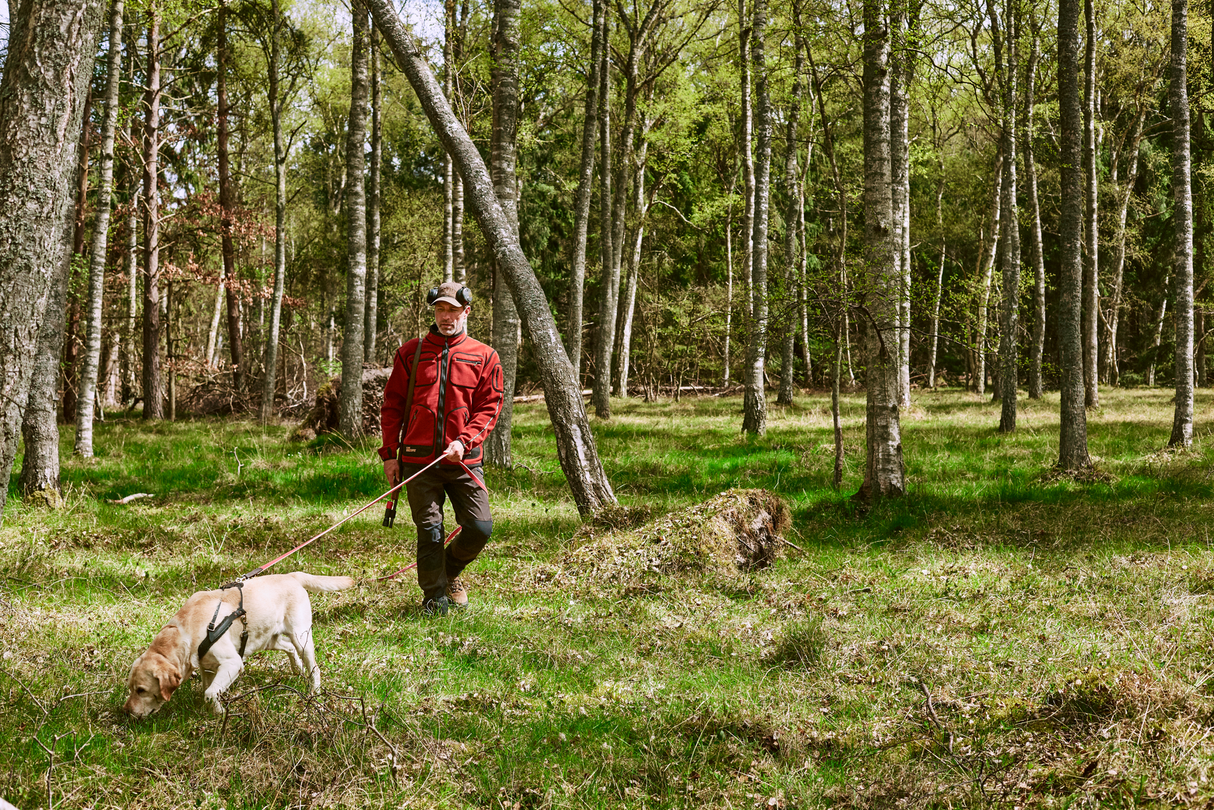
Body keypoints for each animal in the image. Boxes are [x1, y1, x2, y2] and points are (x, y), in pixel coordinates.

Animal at [125, 573, 354, 718]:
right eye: (131, 688)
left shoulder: (232, 662)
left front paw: (220, 714)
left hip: (301, 636)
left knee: (314, 667)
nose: (125, 712)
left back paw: (314, 692)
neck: (184, 632)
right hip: (268, 639)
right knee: (288, 648)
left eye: (141, 690)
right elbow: (208, 690)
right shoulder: (208, 667)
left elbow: (210, 693)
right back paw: (296, 669)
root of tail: (291, 576)